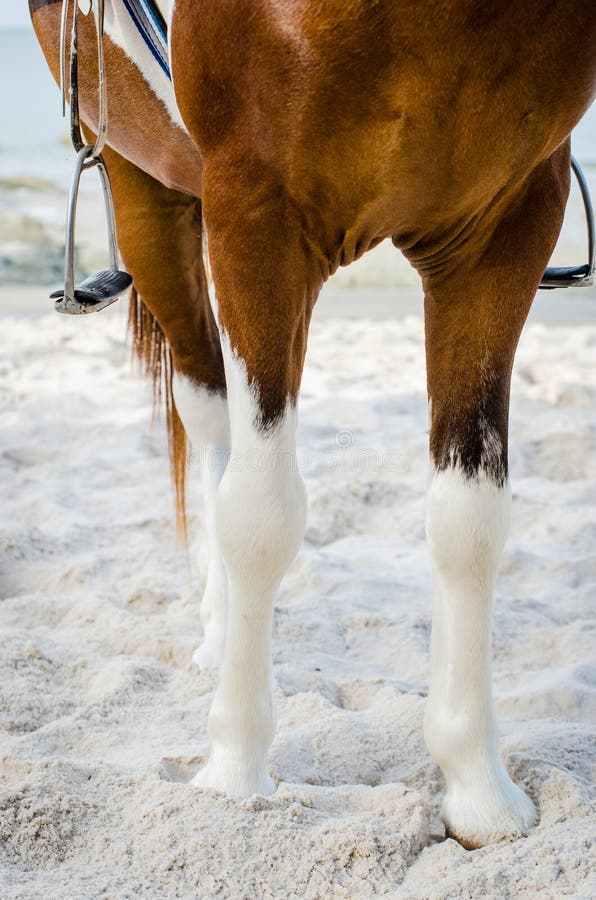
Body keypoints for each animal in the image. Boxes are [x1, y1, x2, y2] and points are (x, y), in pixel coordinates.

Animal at [29, 0, 596, 849]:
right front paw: (235, 771)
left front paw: (479, 789)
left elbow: (469, 521)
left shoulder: (506, 225)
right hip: (149, 187)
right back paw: (221, 632)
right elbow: (261, 513)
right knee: (214, 421)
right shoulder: (258, 213)